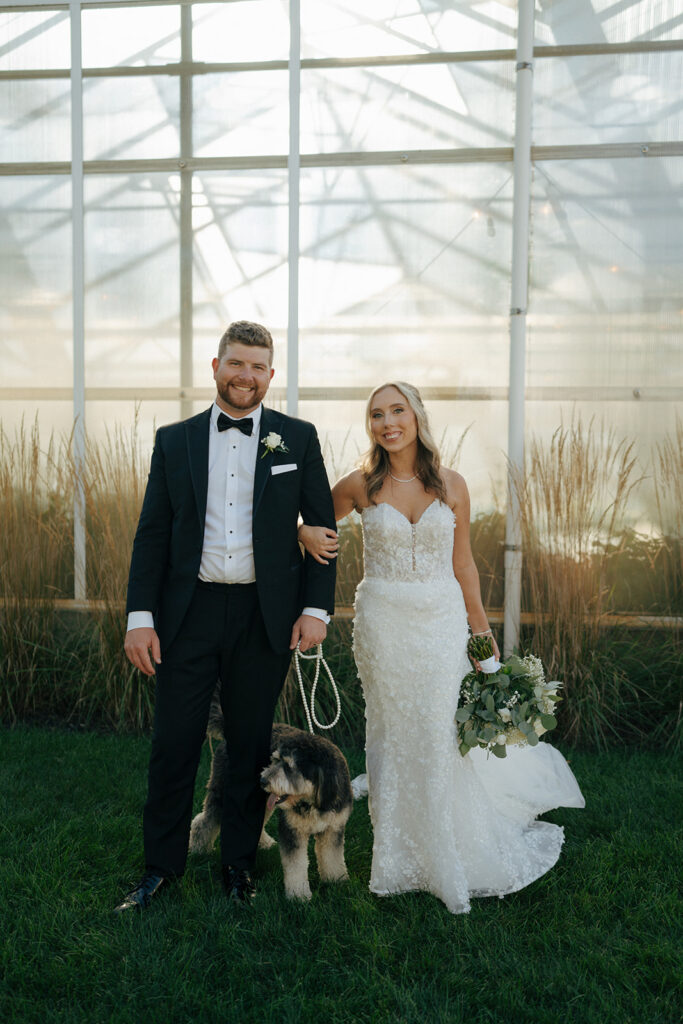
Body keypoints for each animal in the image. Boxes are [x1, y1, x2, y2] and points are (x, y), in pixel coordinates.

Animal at [189, 692, 356, 901]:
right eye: (275, 760)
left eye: (289, 766)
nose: (262, 780)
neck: (312, 801)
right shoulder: (292, 830)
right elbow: (296, 865)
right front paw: (299, 895)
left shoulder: (333, 829)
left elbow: (332, 857)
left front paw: (337, 881)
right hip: (221, 792)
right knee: (203, 822)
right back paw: (198, 849)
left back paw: (264, 843)